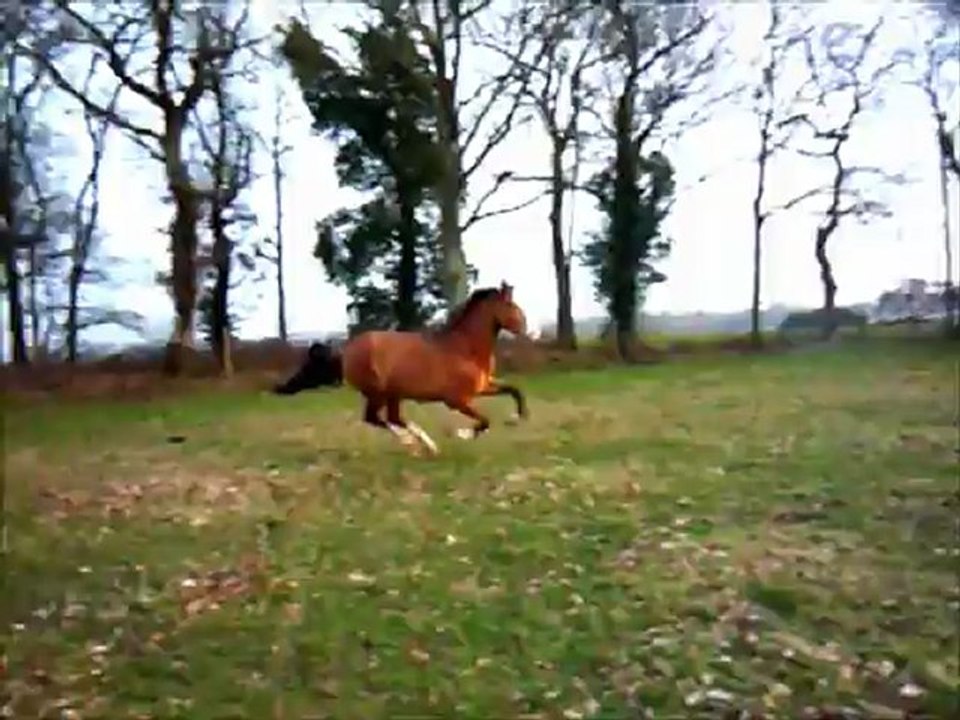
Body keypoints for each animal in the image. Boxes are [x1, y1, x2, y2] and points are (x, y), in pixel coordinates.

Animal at [273, 281, 529, 455]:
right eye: (511, 306)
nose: (524, 329)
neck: (464, 349)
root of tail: (346, 352)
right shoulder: (456, 400)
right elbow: (485, 421)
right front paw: (463, 434)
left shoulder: (483, 387)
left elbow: (515, 391)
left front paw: (516, 418)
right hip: (378, 392)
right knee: (375, 418)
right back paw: (411, 442)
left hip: (393, 394)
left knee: (392, 418)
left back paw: (426, 445)